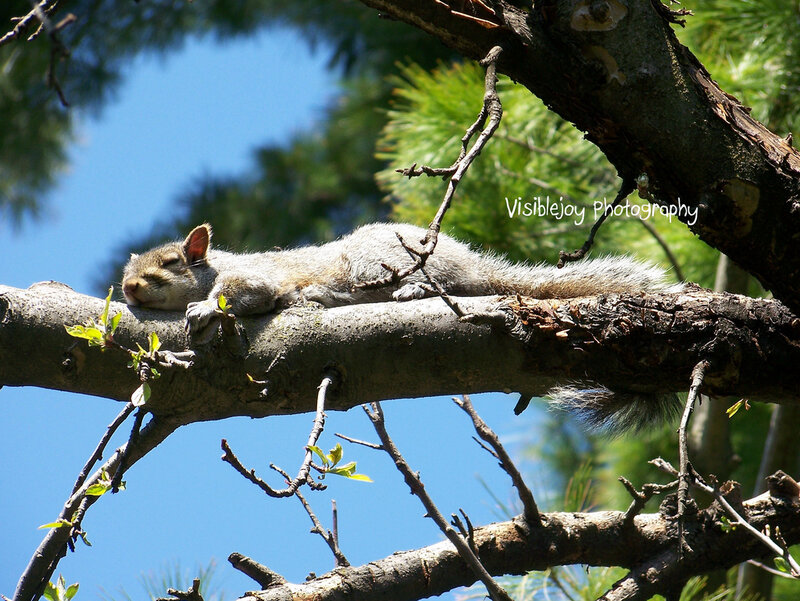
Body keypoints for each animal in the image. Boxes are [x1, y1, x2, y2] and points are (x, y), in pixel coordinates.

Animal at [122, 222, 682, 430]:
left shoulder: (258, 278)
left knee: (452, 286)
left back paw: (406, 291)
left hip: (383, 260)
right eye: (127, 268)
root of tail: (475, 263)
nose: (127, 288)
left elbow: (243, 295)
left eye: (171, 262)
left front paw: (205, 310)